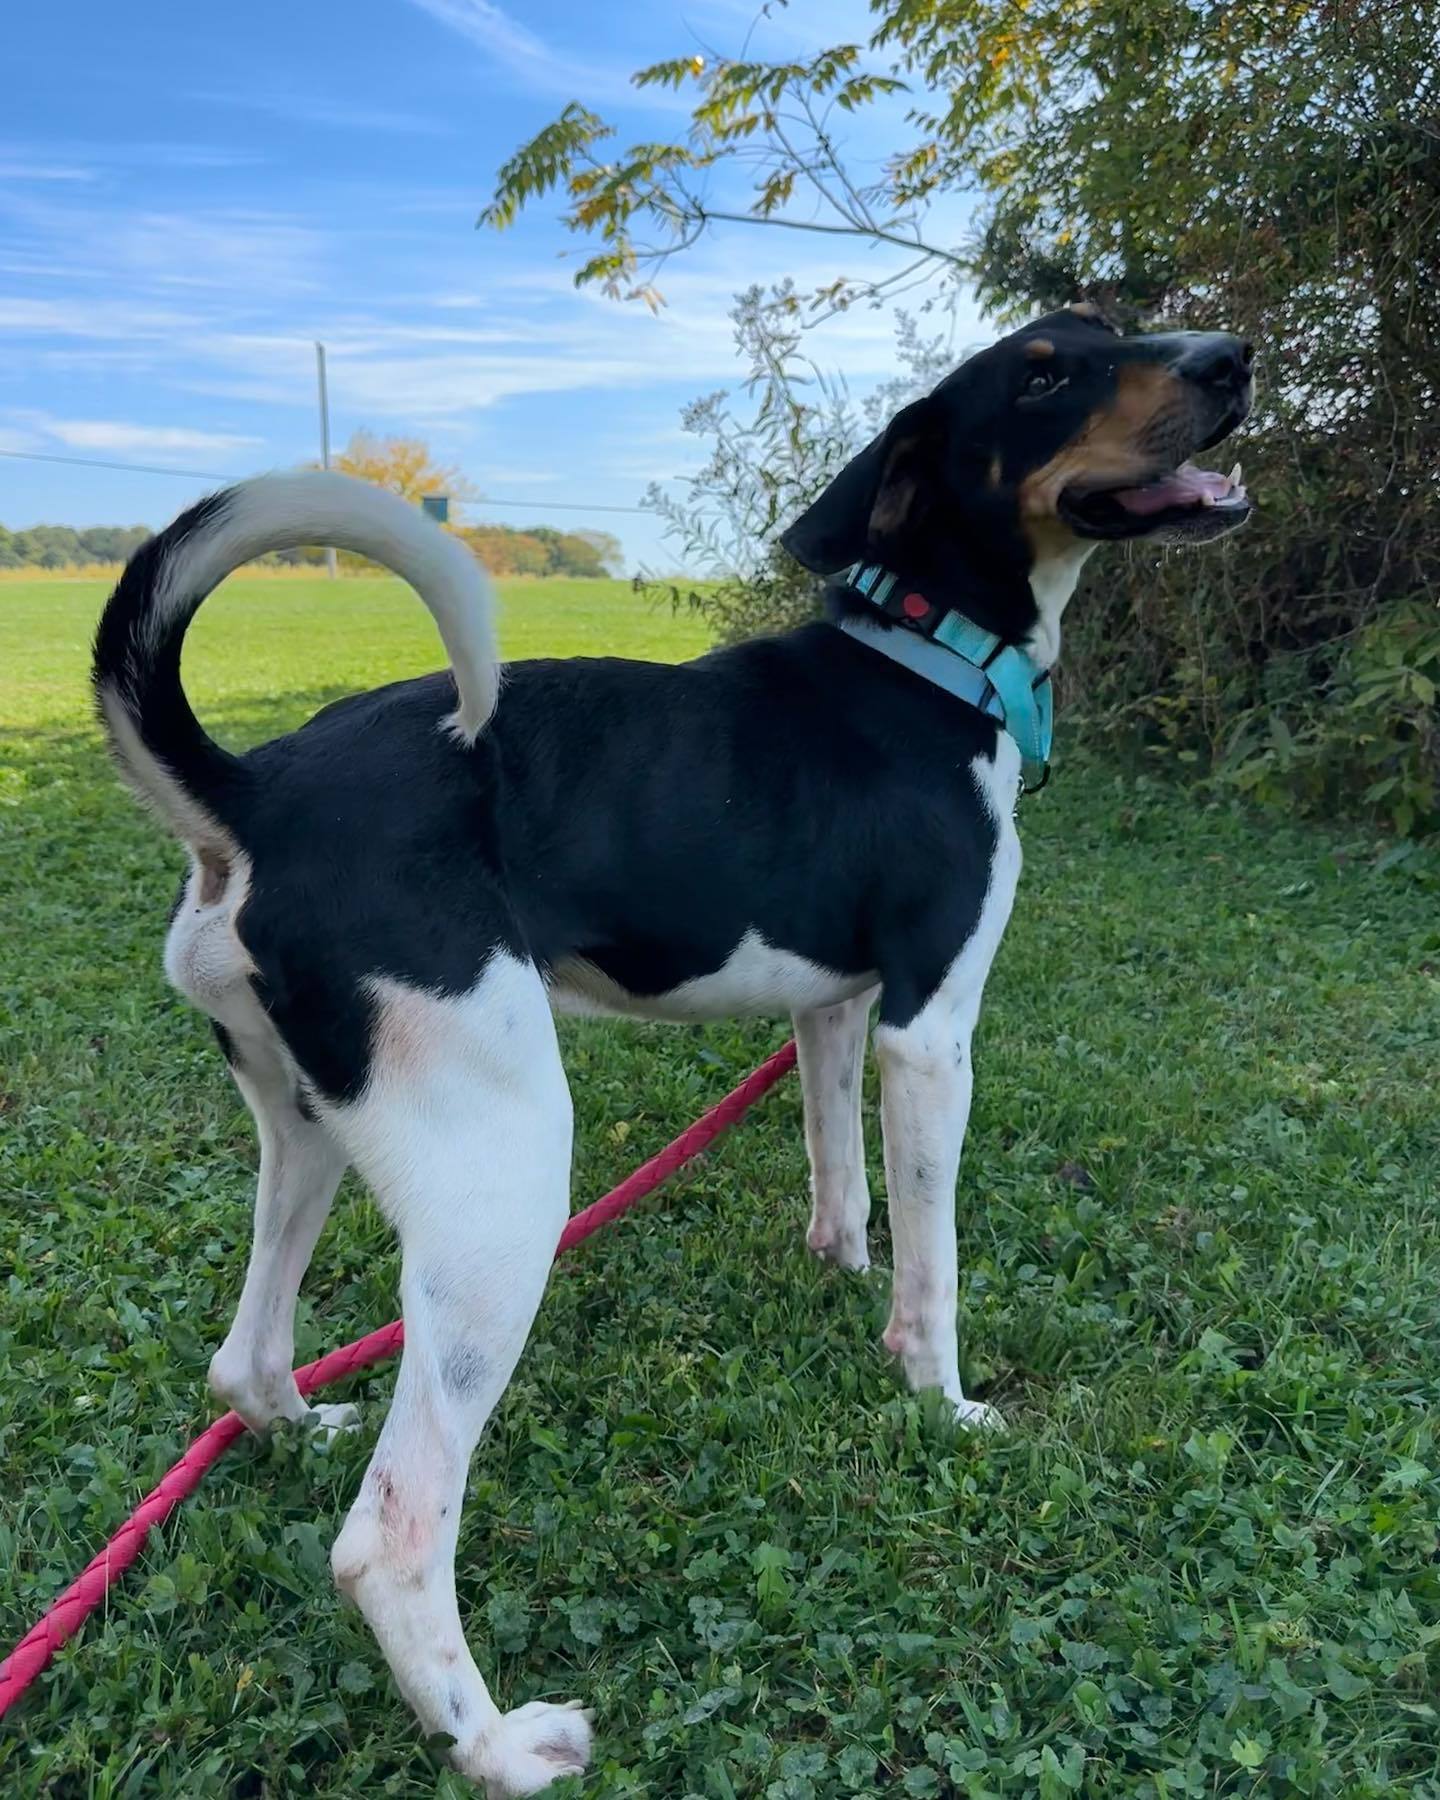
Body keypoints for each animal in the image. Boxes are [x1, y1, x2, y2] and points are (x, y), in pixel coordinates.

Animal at [95, 302, 1245, 1792]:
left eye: (1115, 332)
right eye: (1049, 369)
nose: (1231, 361)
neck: (927, 655)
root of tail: (258, 788)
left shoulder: (834, 1010)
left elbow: (841, 1178)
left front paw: (837, 1275)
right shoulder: (931, 1033)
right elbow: (933, 1268)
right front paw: (940, 1401)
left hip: (306, 1131)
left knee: (242, 1362)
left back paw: (297, 1424)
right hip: (503, 1184)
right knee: (390, 1534)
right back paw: (500, 1746)